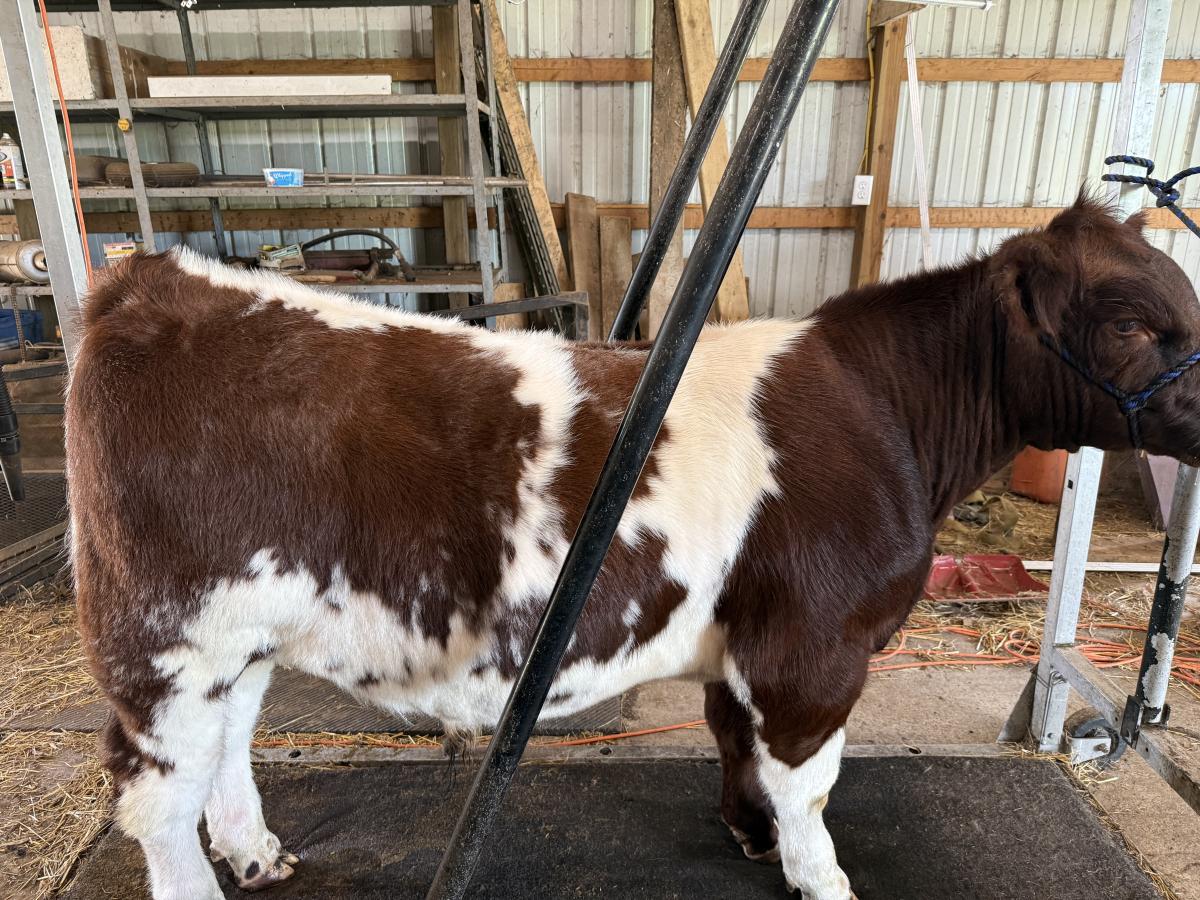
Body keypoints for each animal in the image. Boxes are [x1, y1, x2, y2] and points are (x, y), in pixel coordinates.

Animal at [66, 195, 1200, 900]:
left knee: (227, 749)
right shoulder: (817, 648)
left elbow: (735, 739)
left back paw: (259, 856)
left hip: (242, 639)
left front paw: (753, 835)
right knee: (156, 800)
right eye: (1134, 324)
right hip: (165, 642)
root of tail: (153, 281)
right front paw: (821, 875)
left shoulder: (746, 641)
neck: (886, 415)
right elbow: (809, 778)